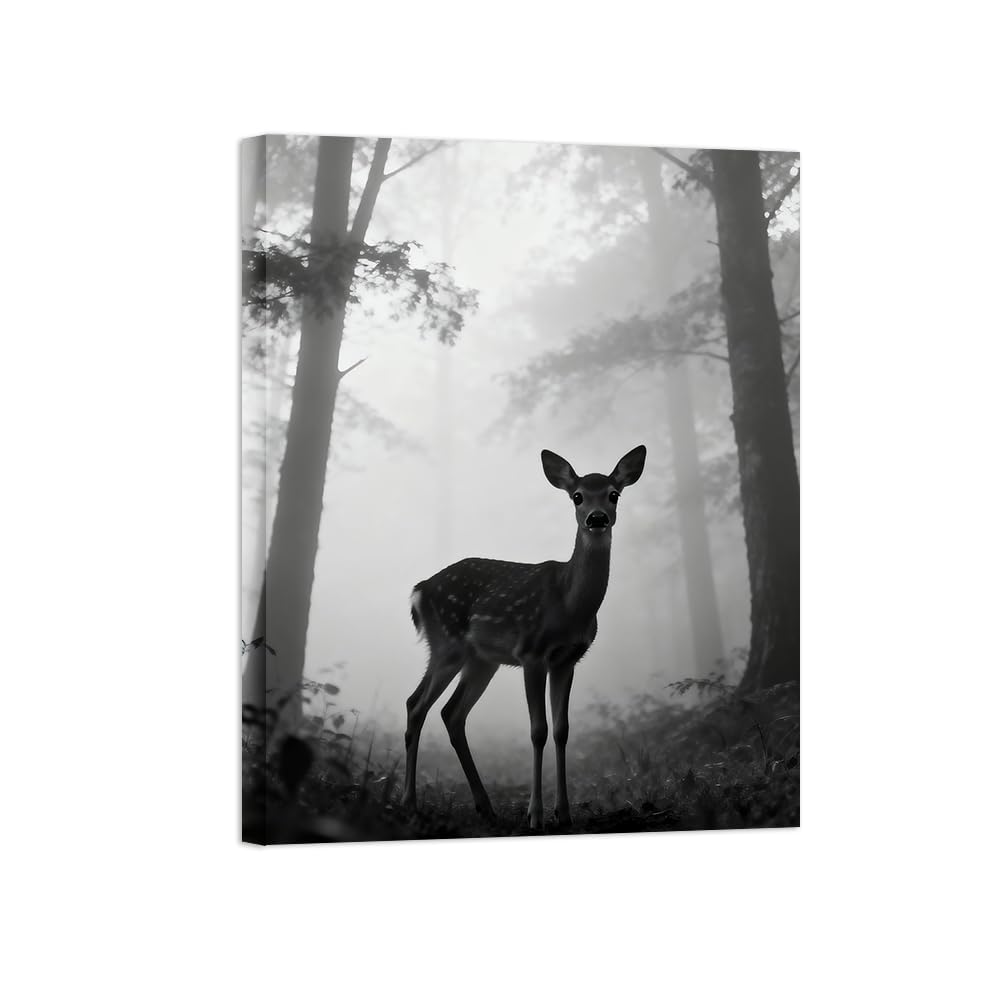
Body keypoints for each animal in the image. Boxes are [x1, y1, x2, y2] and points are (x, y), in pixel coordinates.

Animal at [401, 445, 646, 829]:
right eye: (577, 496)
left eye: (613, 495)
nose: (596, 519)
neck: (568, 604)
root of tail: (420, 589)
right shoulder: (532, 653)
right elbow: (538, 730)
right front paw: (536, 815)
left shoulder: (567, 659)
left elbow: (561, 729)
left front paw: (565, 814)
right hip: (446, 645)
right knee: (416, 705)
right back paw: (410, 804)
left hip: (481, 660)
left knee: (451, 713)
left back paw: (485, 806)